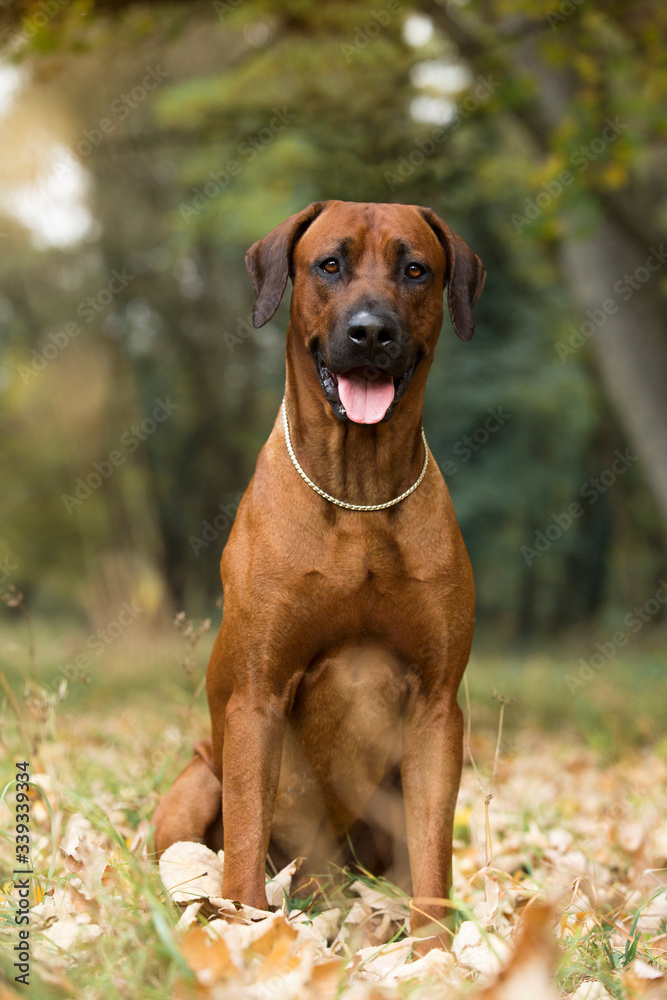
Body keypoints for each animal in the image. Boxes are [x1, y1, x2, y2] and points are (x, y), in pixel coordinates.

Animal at [154, 201, 486, 944]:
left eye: (415, 270)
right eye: (329, 265)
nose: (371, 332)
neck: (359, 494)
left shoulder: (436, 708)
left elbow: (434, 848)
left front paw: (432, 948)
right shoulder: (257, 695)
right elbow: (246, 834)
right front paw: (246, 929)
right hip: (195, 785)